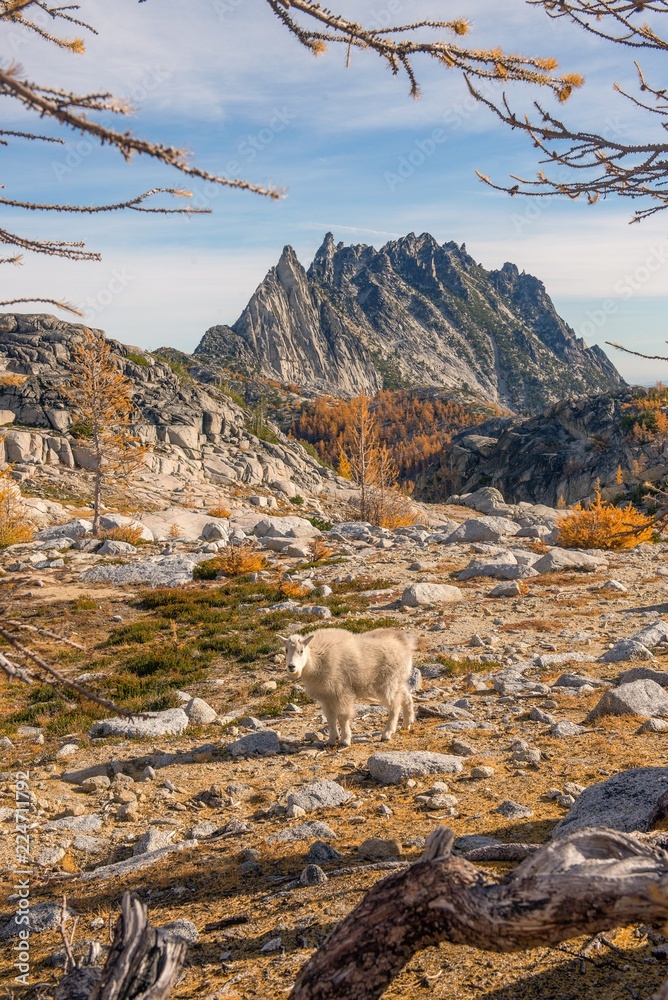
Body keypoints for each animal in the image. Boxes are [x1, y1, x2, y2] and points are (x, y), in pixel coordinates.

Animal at [278, 628, 418, 748]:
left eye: (301, 650)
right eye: (286, 650)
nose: (291, 667)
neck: (317, 660)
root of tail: (406, 644)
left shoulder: (341, 692)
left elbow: (343, 716)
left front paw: (345, 740)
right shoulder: (326, 696)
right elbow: (330, 718)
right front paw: (331, 740)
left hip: (388, 682)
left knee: (395, 705)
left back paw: (387, 733)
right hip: (397, 680)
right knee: (406, 695)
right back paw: (407, 723)